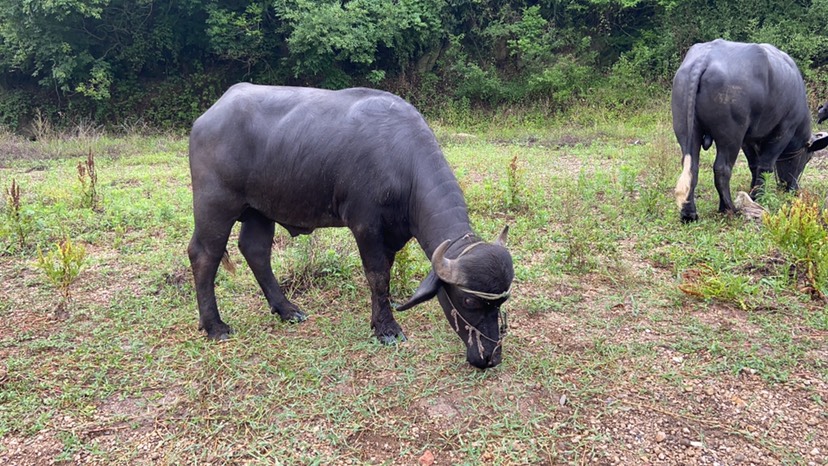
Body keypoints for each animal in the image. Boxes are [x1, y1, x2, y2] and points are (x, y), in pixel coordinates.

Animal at [188, 83, 516, 368]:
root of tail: (208, 117)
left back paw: (287, 309)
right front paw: (387, 329)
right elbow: (377, 276)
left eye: (501, 302)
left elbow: (384, 274)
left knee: (255, 251)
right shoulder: (365, 225)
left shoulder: (391, 235)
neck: (401, 162)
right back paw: (215, 325)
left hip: (260, 210)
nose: (490, 357)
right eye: (469, 300)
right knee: (204, 255)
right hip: (214, 205)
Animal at [672, 38, 828, 222]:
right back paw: (729, 208)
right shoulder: (784, 131)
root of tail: (703, 60)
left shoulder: (748, 139)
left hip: (686, 129)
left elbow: (753, 164)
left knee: (691, 166)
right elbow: (765, 165)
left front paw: (753, 191)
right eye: (808, 158)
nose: (793, 188)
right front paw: (758, 195)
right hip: (731, 136)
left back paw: (689, 213)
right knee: (722, 169)